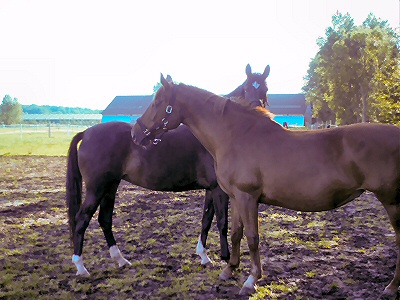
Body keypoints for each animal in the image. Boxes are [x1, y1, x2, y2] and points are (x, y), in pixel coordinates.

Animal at [67, 64, 270, 276]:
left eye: (265, 89)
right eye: (246, 88)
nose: (257, 113)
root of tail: (87, 132)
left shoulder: (210, 189)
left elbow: (206, 219)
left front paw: (204, 256)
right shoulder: (219, 190)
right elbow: (222, 222)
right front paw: (225, 258)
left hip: (110, 187)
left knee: (105, 219)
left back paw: (120, 260)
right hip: (96, 189)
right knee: (82, 219)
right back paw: (80, 266)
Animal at [131, 74, 400, 298]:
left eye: (158, 102)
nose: (135, 133)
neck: (236, 136)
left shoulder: (247, 197)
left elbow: (252, 237)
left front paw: (251, 280)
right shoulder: (236, 197)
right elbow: (235, 233)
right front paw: (229, 269)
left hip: (392, 202)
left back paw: (391, 287)